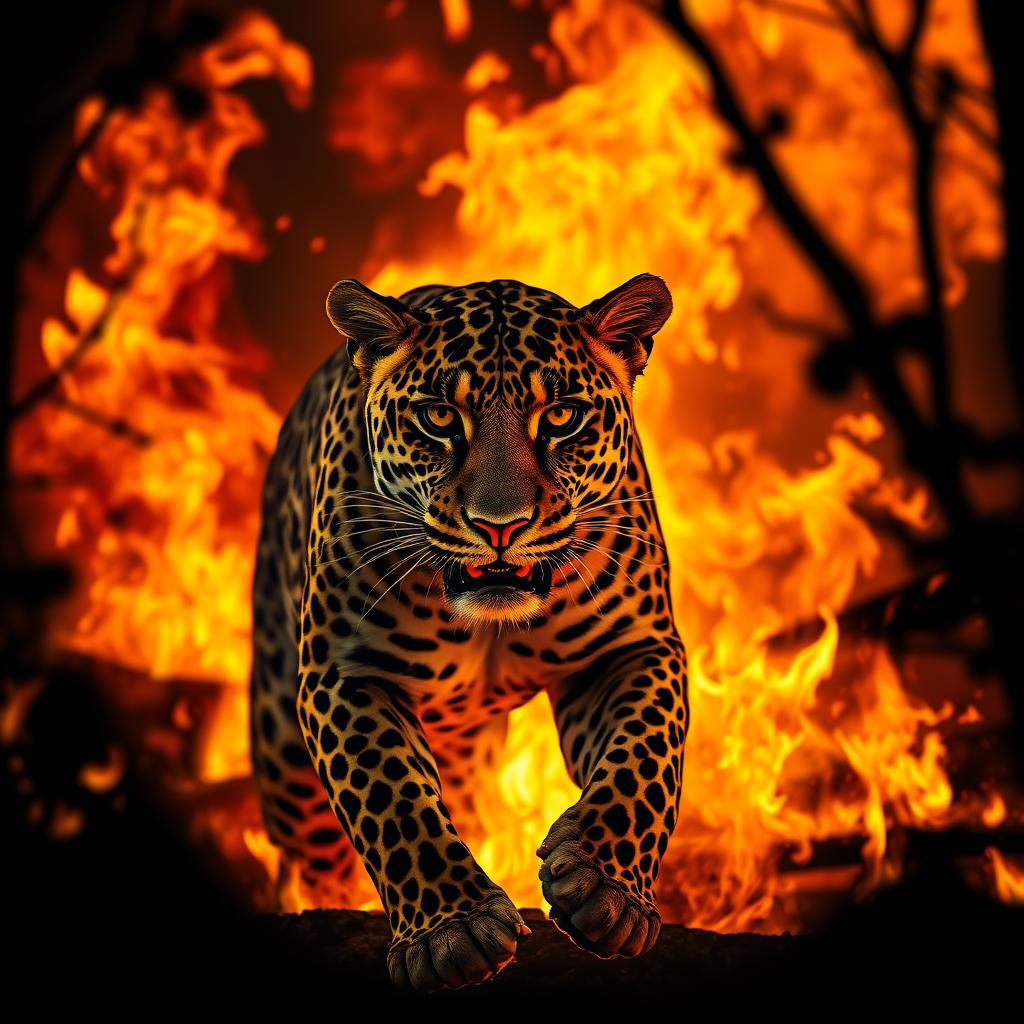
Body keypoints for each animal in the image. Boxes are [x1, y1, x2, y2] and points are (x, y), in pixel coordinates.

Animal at [250, 272, 689, 992]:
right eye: (438, 418)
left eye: (561, 417)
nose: (499, 526)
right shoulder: (347, 673)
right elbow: (391, 797)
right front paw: (451, 932)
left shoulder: (631, 650)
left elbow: (643, 761)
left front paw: (606, 889)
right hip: (286, 757)